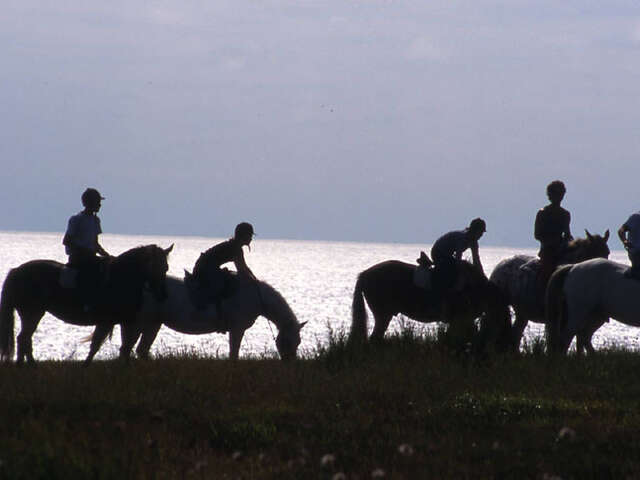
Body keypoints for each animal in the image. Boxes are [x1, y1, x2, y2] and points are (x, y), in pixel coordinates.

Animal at [0, 246, 172, 366]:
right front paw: (86, 365)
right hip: (32, 312)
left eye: (166, 268)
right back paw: (27, 365)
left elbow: (124, 346)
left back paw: (26, 364)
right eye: (153, 267)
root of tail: (16, 271)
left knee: (25, 338)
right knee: (24, 338)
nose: (162, 295)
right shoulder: (108, 321)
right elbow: (98, 344)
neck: (120, 278)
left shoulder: (124, 321)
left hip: (31, 313)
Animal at [127, 274, 308, 360]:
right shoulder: (237, 329)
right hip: (142, 322)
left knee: (141, 350)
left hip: (154, 324)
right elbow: (234, 352)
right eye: (288, 341)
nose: (290, 362)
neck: (254, 297)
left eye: (299, 342)